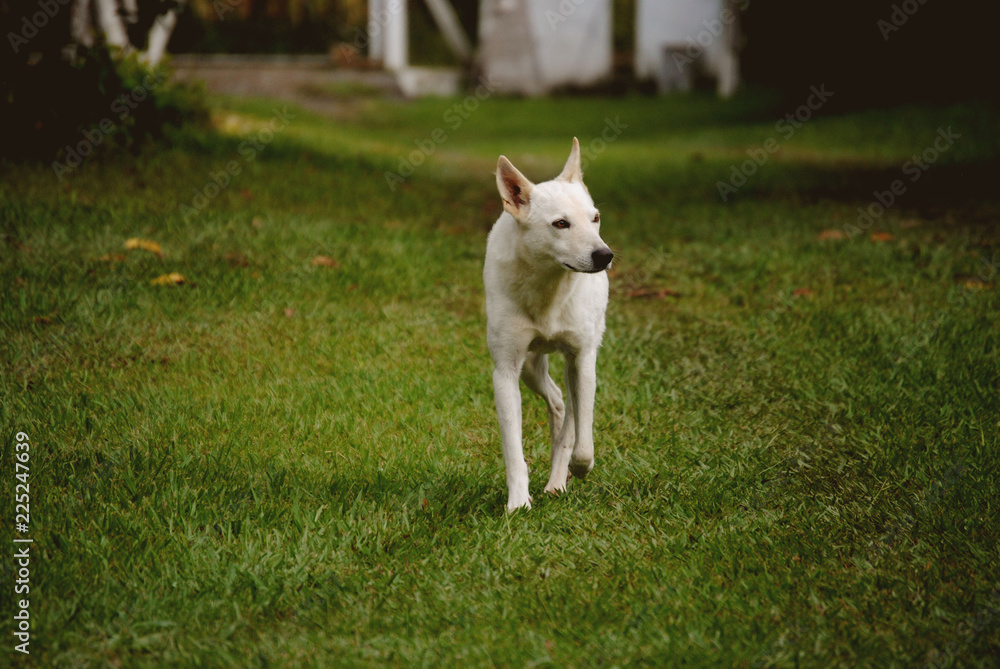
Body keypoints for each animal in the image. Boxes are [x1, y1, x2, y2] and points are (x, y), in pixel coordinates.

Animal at [482, 137, 612, 512]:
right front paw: (517, 504)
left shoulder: (582, 359)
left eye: (595, 218)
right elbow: (513, 449)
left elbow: (581, 438)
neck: (548, 287)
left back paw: (559, 480)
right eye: (560, 224)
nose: (605, 256)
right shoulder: (506, 371)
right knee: (556, 400)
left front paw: (578, 468)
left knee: (568, 413)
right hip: (530, 366)